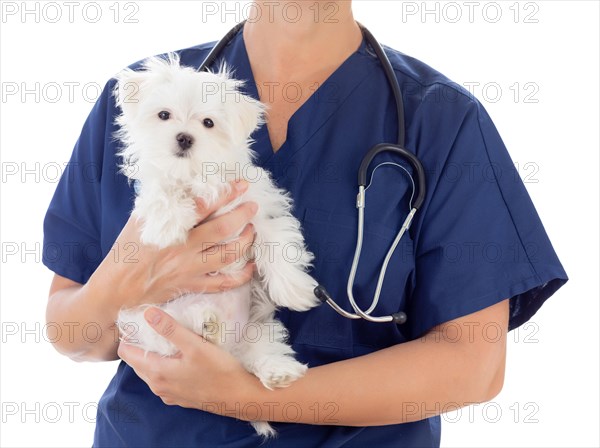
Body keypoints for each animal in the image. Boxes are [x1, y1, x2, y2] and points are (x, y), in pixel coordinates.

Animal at [110, 54, 322, 436]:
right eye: (164, 115)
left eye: (208, 123)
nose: (184, 137)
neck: (197, 175)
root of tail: (229, 345)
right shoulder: (154, 186)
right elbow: (162, 190)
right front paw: (169, 224)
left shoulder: (255, 207)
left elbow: (276, 242)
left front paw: (293, 289)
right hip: (147, 320)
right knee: (172, 333)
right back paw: (206, 322)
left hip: (255, 330)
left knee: (258, 355)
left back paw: (276, 371)